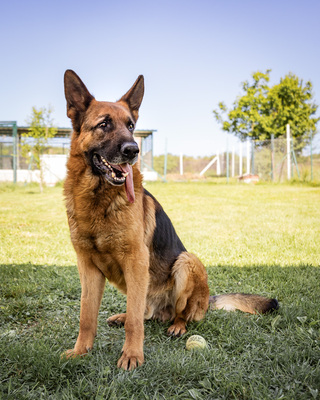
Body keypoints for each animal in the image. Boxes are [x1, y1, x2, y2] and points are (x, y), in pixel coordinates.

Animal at [62, 70, 278, 370]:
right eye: (104, 124)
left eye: (131, 126)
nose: (133, 150)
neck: (98, 200)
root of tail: (206, 300)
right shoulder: (88, 267)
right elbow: (86, 315)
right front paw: (81, 351)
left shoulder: (136, 261)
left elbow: (134, 324)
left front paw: (132, 355)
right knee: (142, 312)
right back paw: (125, 315)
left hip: (187, 262)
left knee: (174, 314)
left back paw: (177, 326)